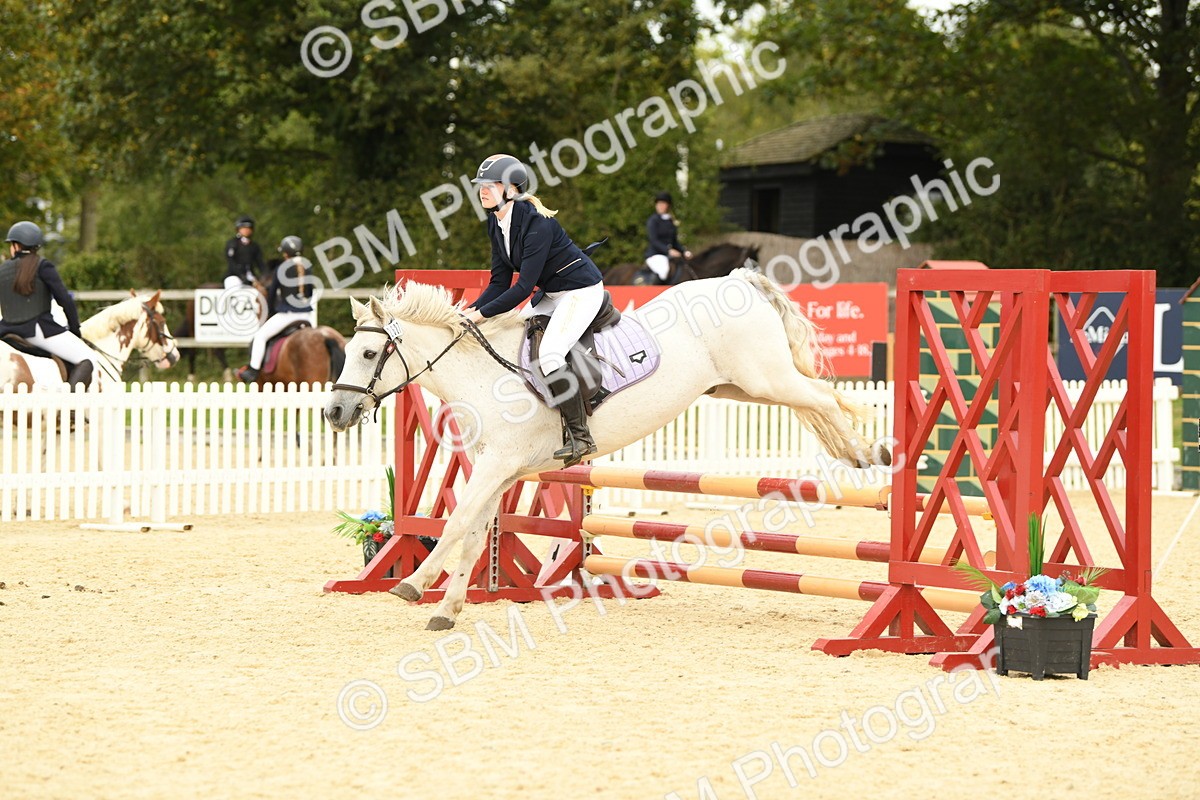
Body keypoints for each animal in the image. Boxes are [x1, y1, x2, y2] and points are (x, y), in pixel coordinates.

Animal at [323, 269, 885, 631]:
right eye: (347, 350)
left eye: (369, 353)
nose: (334, 412)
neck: (482, 374)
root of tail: (741, 280)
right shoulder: (499, 471)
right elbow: (475, 533)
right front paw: (448, 608)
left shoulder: (496, 465)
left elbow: (456, 523)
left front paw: (414, 583)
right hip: (738, 388)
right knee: (818, 400)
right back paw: (859, 453)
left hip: (763, 379)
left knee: (824, 398)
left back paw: (871, 453)